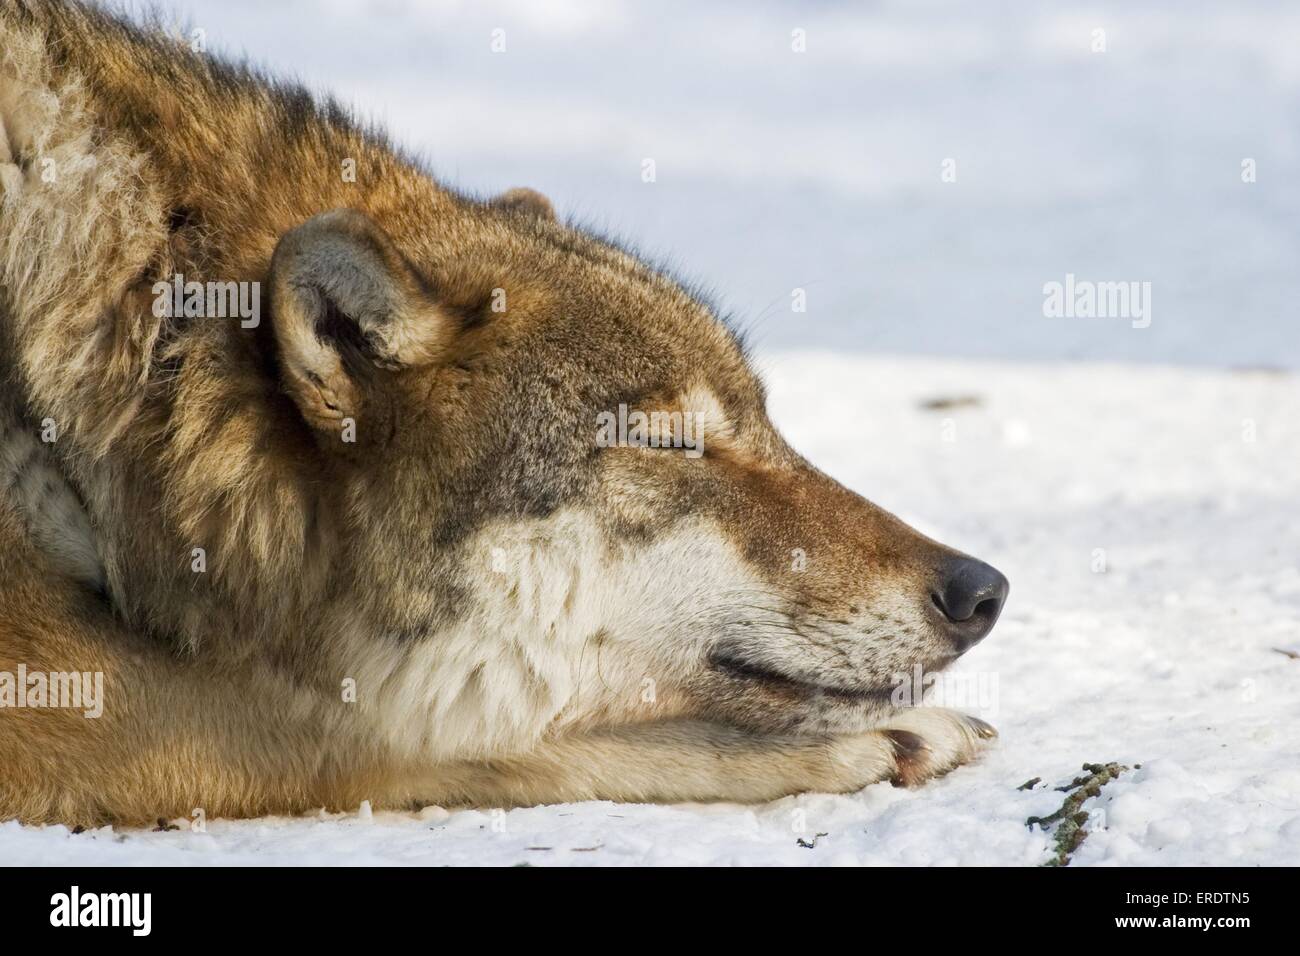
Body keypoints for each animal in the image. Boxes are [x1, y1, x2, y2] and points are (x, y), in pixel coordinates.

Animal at [0, 0, 1003, 827]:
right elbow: (447, 736)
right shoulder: (103, 696)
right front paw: (884, 739)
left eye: (766, 423)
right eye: (670, 442)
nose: (981, 590)